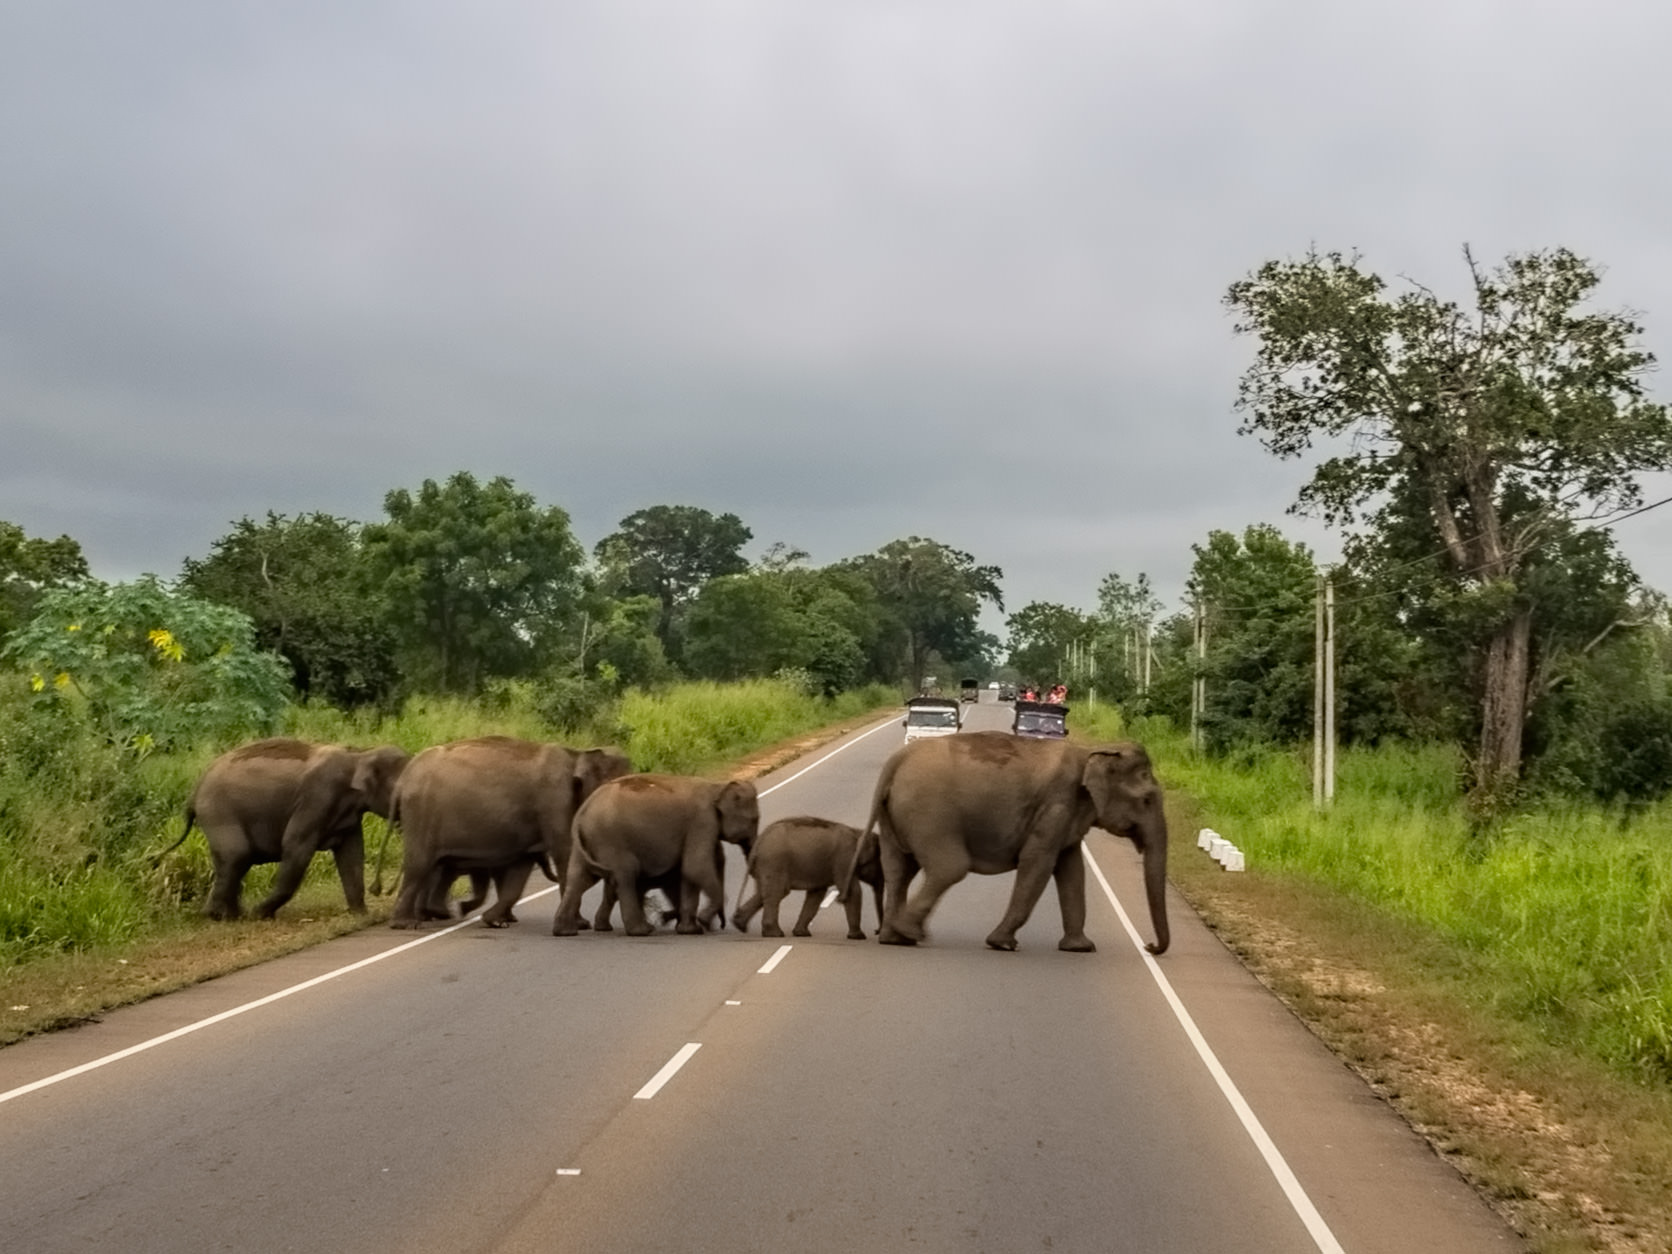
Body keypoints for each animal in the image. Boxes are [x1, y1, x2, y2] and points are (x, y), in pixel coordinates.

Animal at [165, 738, 411, 920]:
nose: (378, 889)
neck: (360, 754)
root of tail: (194, 792)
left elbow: (352, 854)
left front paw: (361, 915)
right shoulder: (317, 797)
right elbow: (296, 847)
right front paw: (259, 915)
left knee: (237, 861)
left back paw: (231, 916)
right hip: (218, 813)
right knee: (237, 855)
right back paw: (220, 916)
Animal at [388, 737, 631, 929]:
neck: (577, 754)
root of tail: (403, 781)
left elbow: (521, 869)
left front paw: (493, 920)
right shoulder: (555, 800)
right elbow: (565, 853)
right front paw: (580, 924)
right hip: (421, 814)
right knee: (419, 864)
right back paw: (406, 924)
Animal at [552, 774, 759, 937]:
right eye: (754, 819)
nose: (720, 925)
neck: (718, 787)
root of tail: (582, 813)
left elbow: (689, 872)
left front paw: (690, 930)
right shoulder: (702, 821)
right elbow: (695, 867)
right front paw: (699, 924)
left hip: (587, 845)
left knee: (579, 880)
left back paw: (565, 932)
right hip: (610, 841)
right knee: (625, 875)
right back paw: (642, 931)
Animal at [732, 816, 882, 939]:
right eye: (880, 866)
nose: (876, 931)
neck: (859, 832)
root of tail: (758, 842)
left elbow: (816, 895)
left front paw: (801, 933)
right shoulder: (845, 860)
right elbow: (853, 891)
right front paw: (859, 937)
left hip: (766, 865)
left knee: (763, 892)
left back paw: (739, 924)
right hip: (774, 862)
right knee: (777, 893)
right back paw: (775, 934)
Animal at [846, 732, 1169, 954]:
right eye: (1147, 799)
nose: (1150, 946)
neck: (1090, 751)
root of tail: (896, 761)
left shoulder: (1065, 815)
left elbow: (1072, 870)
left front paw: (1080, 947)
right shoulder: (1055, 806)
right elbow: (1038, 863)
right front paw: (1002, 943)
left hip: (896, 816)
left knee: (898, 869)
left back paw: (894, 938)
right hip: (931, 814)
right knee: (950, 868)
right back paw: (910, 933)